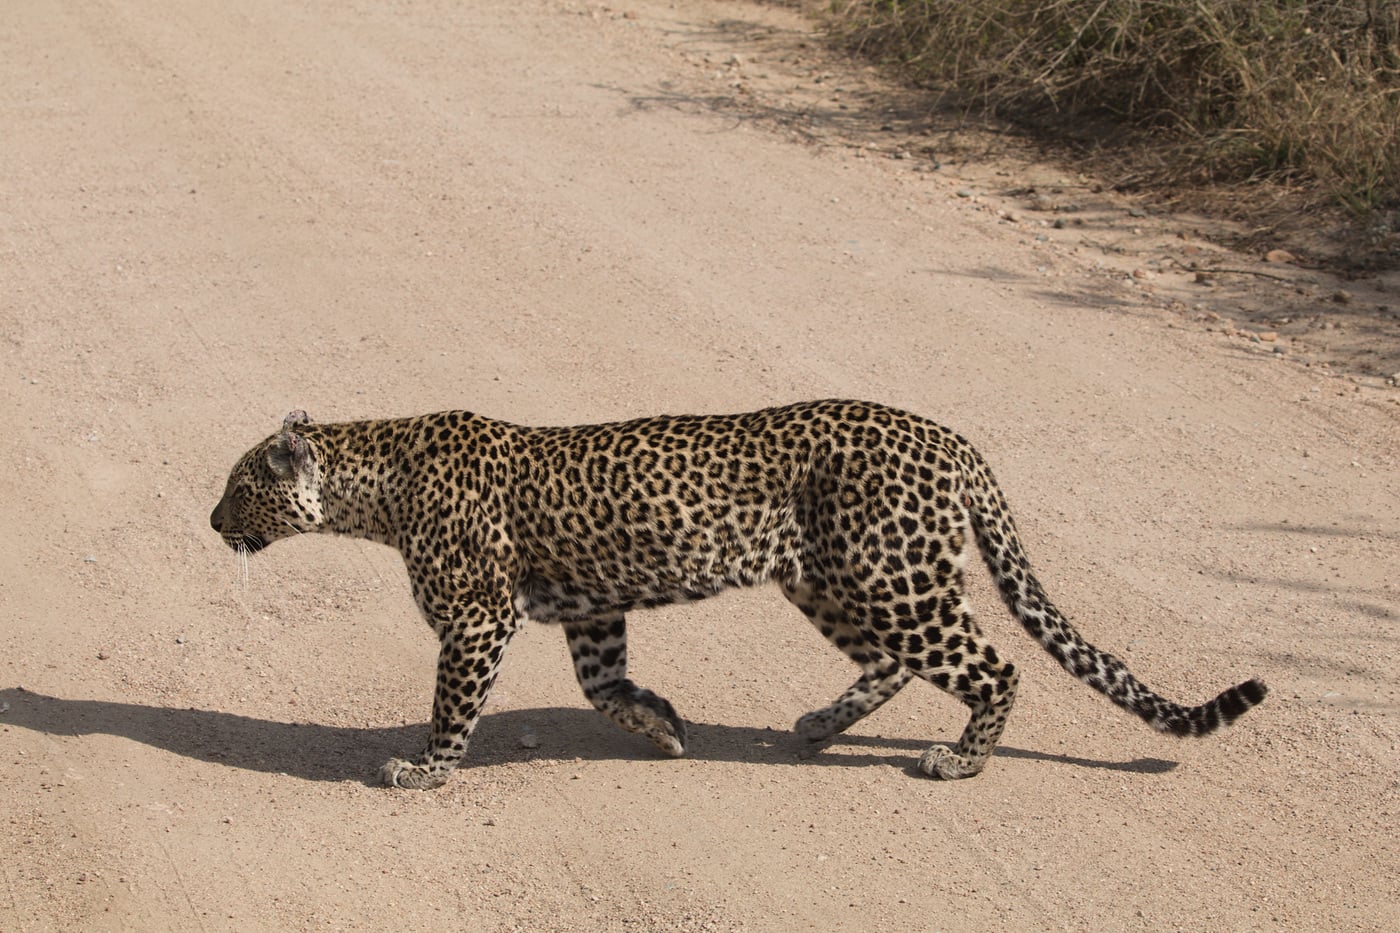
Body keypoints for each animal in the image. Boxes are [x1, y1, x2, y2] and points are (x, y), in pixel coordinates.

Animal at [210, 400, 1266, 789]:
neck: (374, 485)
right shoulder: (592, 607)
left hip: (891, 576)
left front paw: (425, 770)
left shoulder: (477, 616)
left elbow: (450, 704)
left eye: (239, 485)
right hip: (834, 579)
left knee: (994, 665)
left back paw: (958, 759)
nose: (211, 521)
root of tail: (950, 437)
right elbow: (604, 686)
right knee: (892, 662)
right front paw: (666, 726)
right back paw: (821, 724)